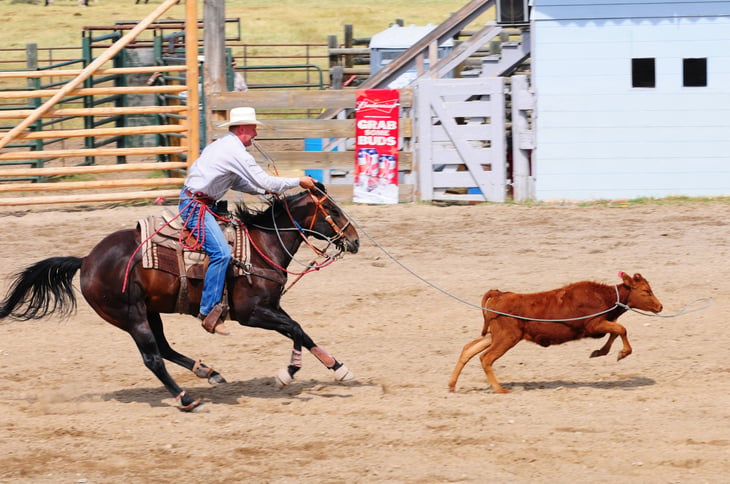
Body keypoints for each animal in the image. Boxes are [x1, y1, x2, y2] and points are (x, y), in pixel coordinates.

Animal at [448, 272, 663, 393]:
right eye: (646, 291)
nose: (660, 306)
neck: (605, 297)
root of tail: (500, 294)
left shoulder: (603, 323)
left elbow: (616, 331)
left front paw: (600, 352)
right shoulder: (594, 325)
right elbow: (621, 329)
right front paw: (622, 353)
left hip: (495, 336)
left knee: (468, 350)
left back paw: (452, 385)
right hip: (507, 338)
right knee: (486, 358)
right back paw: (500, 389)